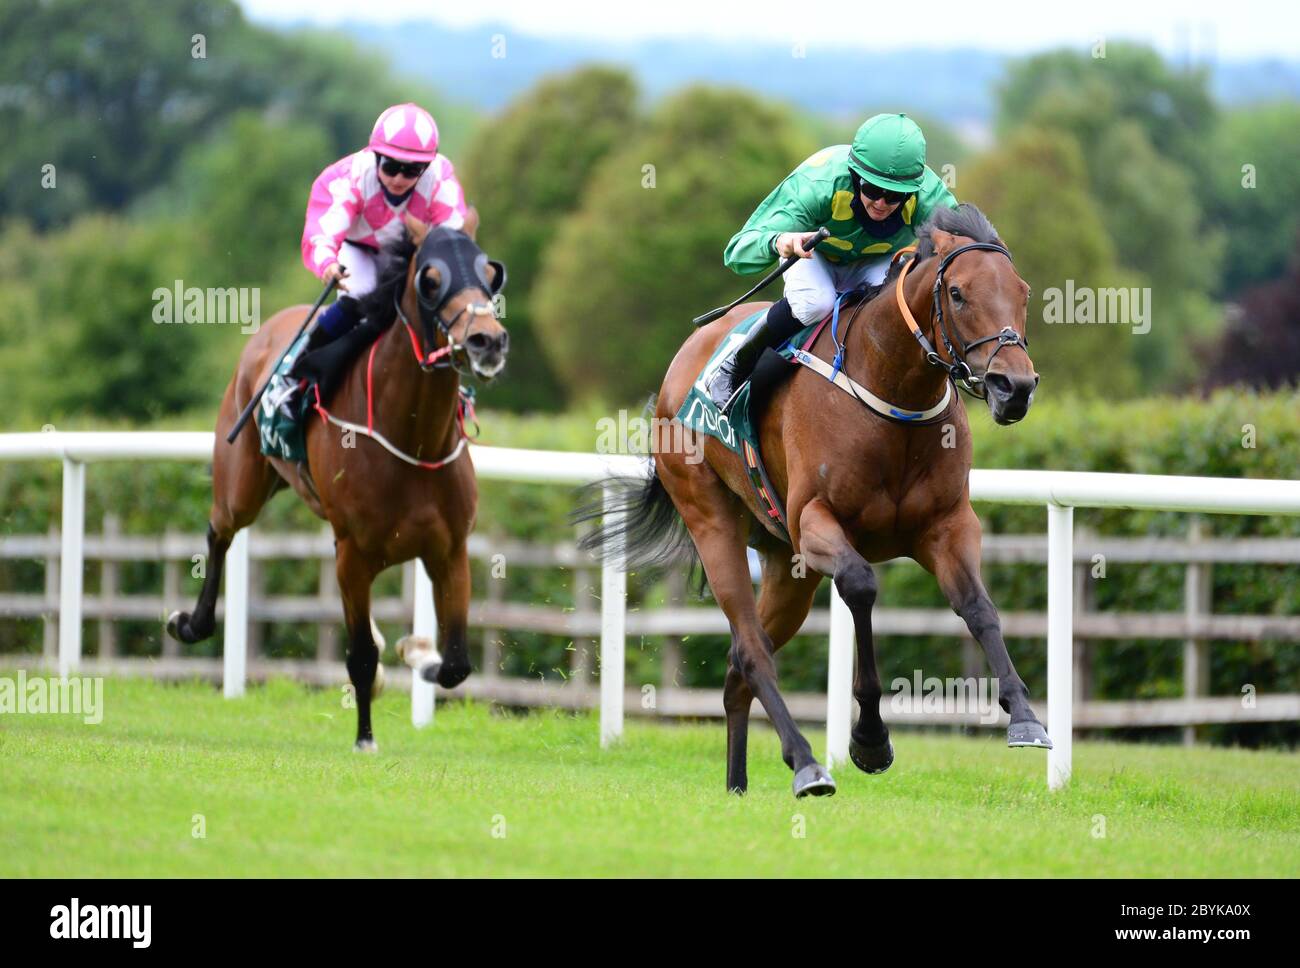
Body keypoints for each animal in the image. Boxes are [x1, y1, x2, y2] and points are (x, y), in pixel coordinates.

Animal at [577, 113, 1045, 795]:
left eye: (1024, 292)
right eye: (957, 293)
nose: (1016, 387)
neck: (891, 396)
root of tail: (682, 360)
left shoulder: (947, 524)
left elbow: (979, 607)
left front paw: (1025, 716)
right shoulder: (816, 521)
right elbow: (861, 586)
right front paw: (870, 739)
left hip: (783, 562)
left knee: (739, 668)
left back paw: (738, 783)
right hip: (714, 519)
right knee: (750, 651)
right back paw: (805, 762)